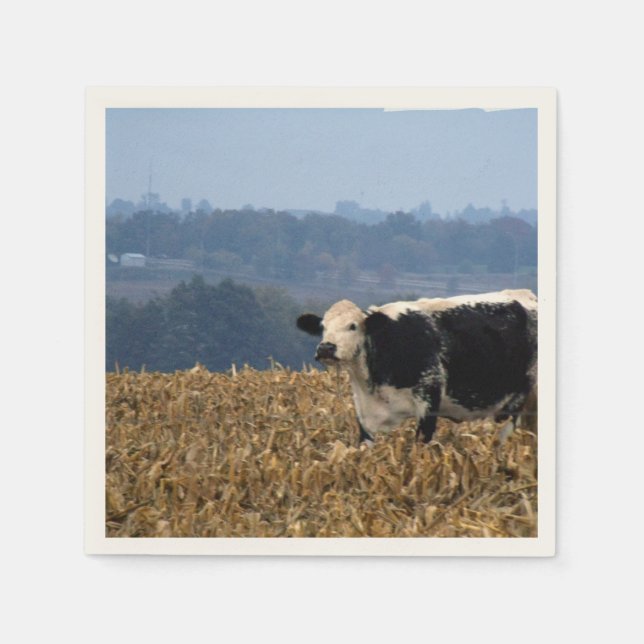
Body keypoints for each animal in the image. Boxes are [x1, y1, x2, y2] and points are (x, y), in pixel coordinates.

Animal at [296, 290, 537, 446]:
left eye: (352, 326)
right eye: (323, 327)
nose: (326, 348)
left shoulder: (429, 400)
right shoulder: (365, 414)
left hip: (519, 400)